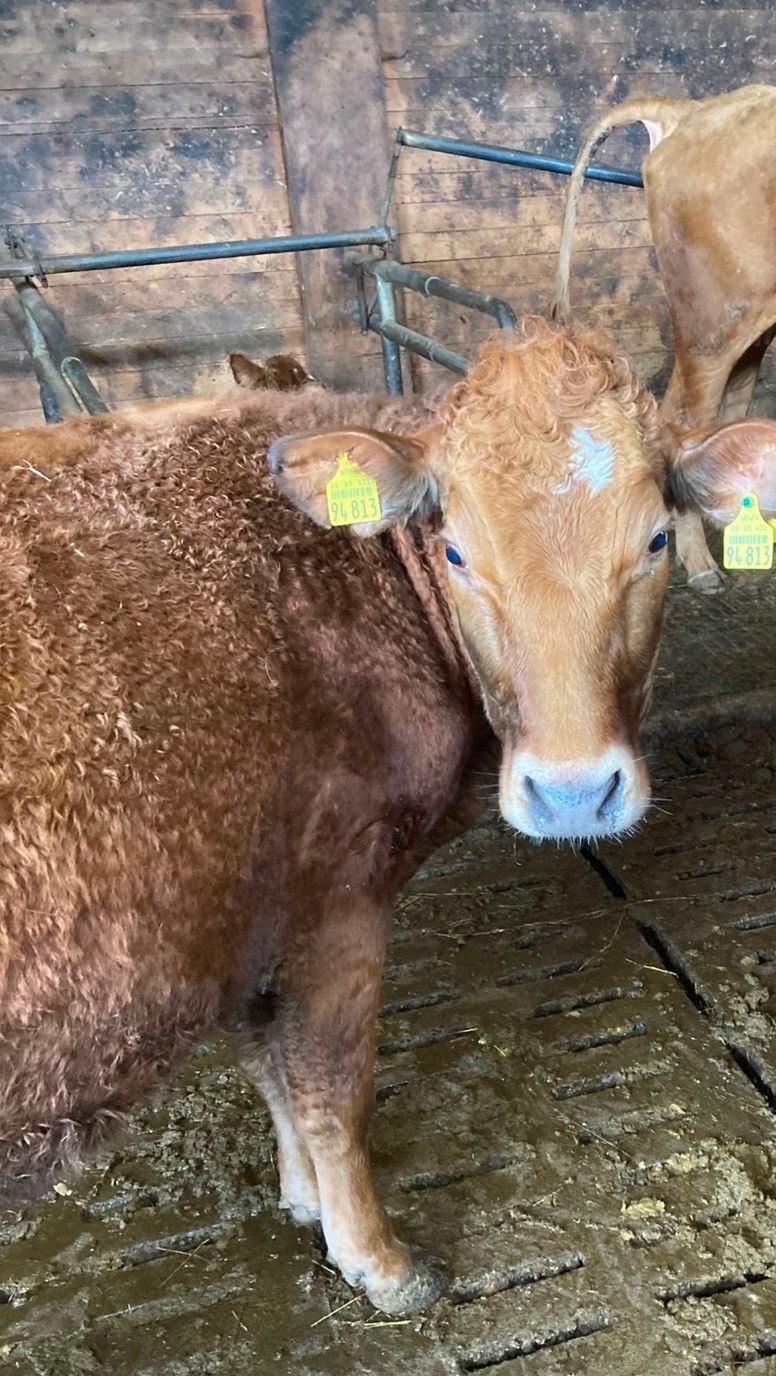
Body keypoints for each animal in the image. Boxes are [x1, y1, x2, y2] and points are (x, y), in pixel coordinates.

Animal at [0, 320, 757, 1315]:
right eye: (457, 551)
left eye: (660, 539)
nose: (570, 793)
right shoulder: (339, 892)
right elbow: (330, 1089)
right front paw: (376, 1261)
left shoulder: (243, 912)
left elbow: (269, 1065)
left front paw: (301, 1199)